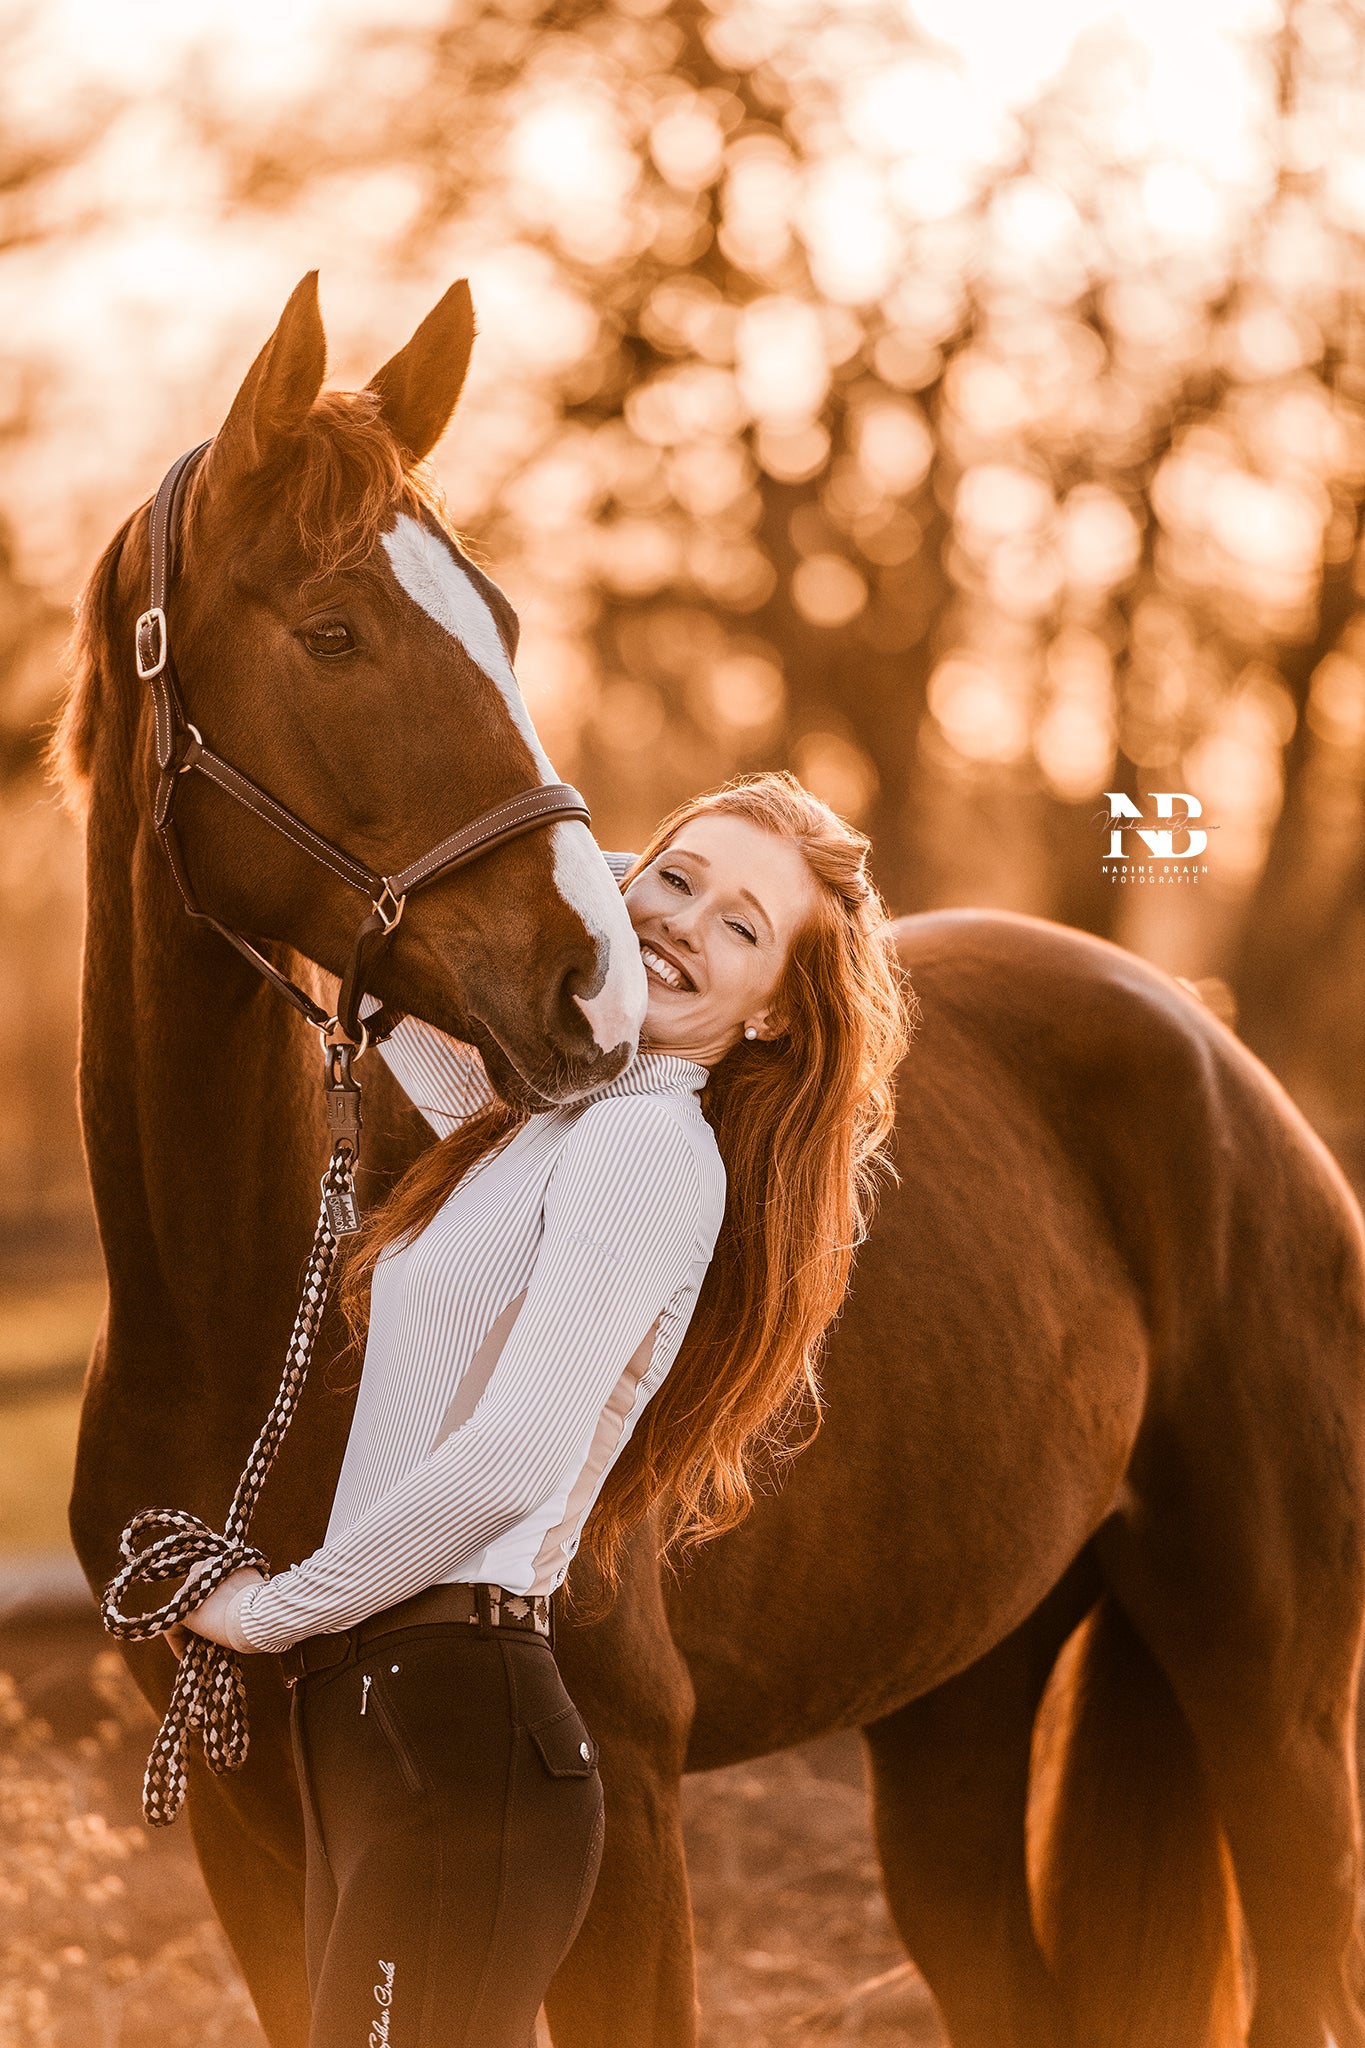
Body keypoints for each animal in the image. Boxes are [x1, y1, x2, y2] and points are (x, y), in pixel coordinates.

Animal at [56, 272, 1365, 2048]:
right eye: (331, 631)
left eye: (506, 625)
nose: (593, 988)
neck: (247, 1321)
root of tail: (1214, 1056)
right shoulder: (252, 1839)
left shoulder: (626, 1792)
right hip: (955, 1719)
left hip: (1273, 1708)